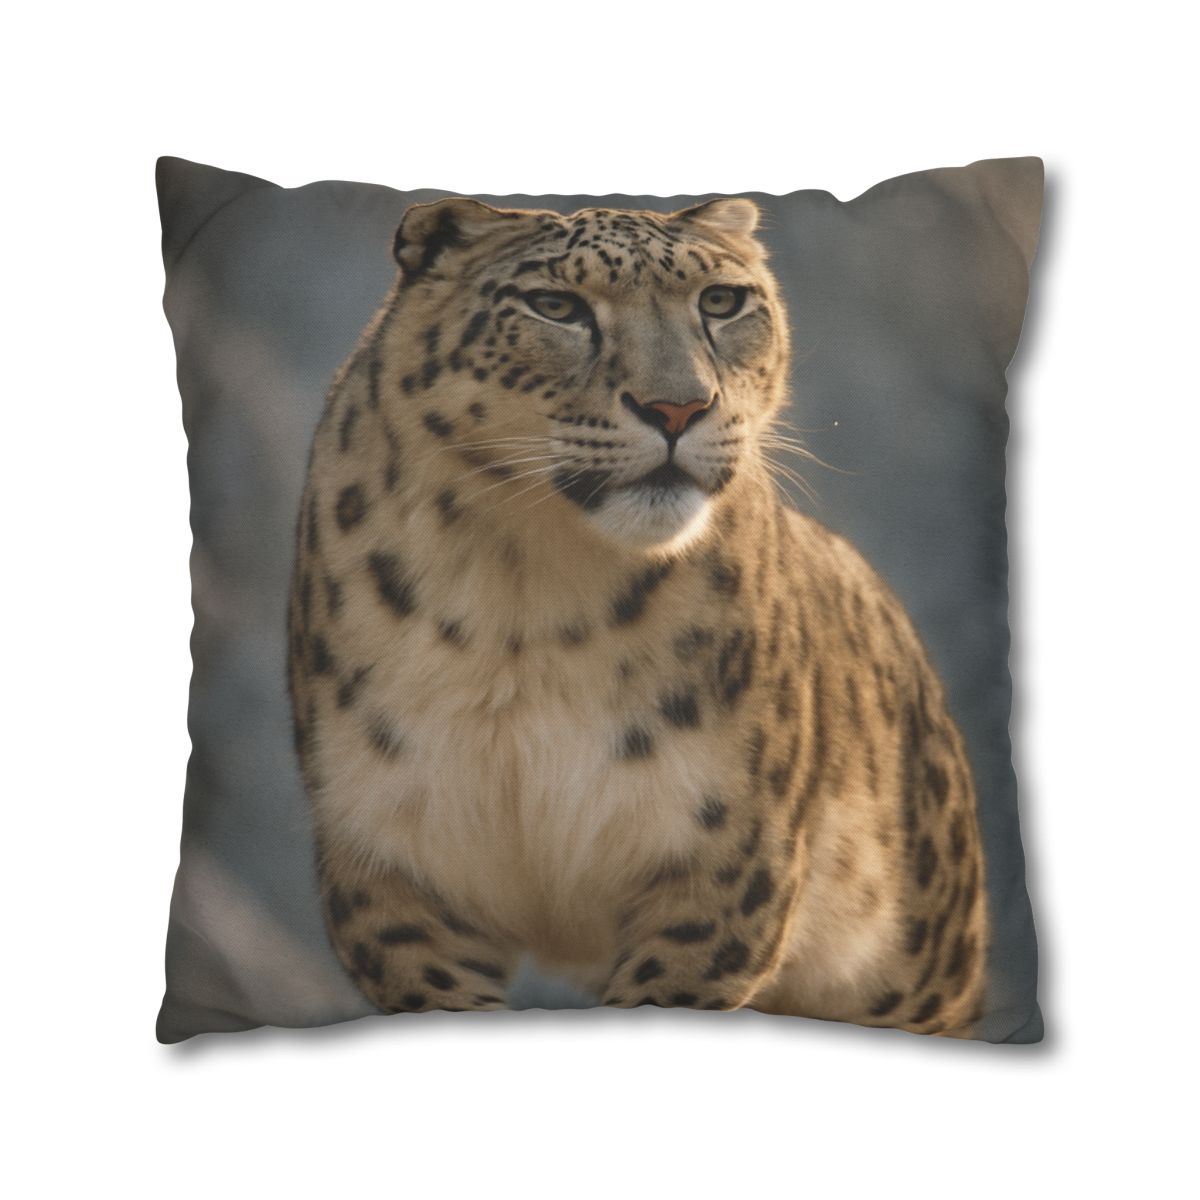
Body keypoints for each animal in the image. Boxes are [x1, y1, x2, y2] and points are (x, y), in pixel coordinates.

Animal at [286, 194, 988, 1035]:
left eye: (720, 302)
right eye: (556, 306)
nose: (677, 407)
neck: (524, 593)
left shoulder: (723, 860)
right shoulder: (391, 861)